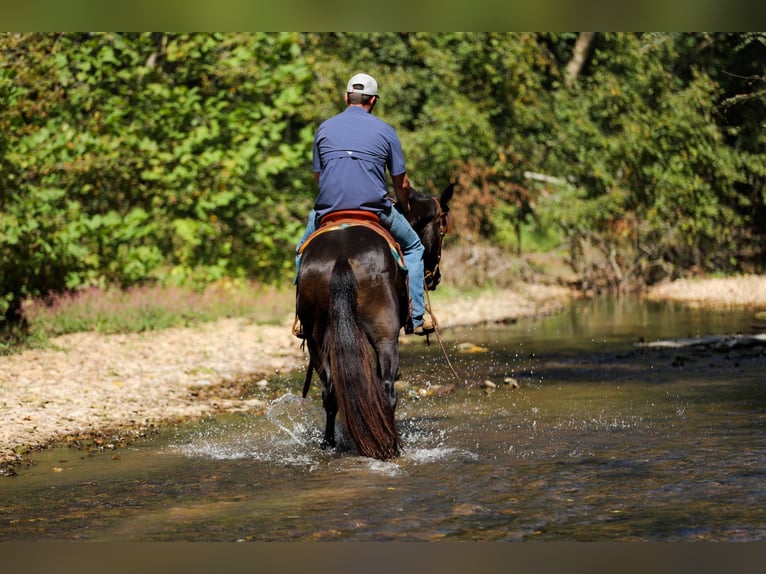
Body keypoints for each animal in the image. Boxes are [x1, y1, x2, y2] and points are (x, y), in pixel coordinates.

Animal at [295, 183, 454, 460]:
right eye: (442, 229)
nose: (435, 278)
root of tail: (342, 258)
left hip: (316, 338)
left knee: (330, 391)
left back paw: (330, 444)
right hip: (385, 334)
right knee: (387, 389)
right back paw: (392, 445)